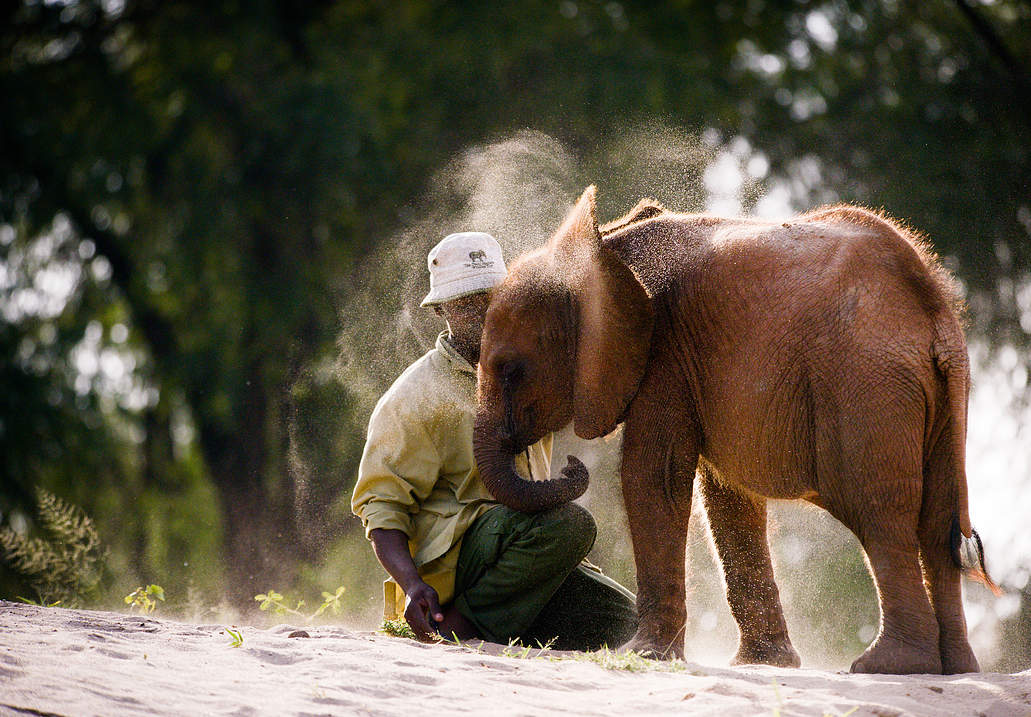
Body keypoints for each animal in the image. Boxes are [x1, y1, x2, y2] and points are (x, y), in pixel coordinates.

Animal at [472, 186, 998, 674]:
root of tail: (933, 310)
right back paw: (957, 669)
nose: (568, 464)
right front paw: (763, 664)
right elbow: (726, 498)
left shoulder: (664, 359)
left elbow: (653, 478)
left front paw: (642, 654)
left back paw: (888, 665)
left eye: (510, 370)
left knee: (881, 515)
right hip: (937, 399)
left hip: (868, 389)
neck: (606, 252)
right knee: (936, 526)